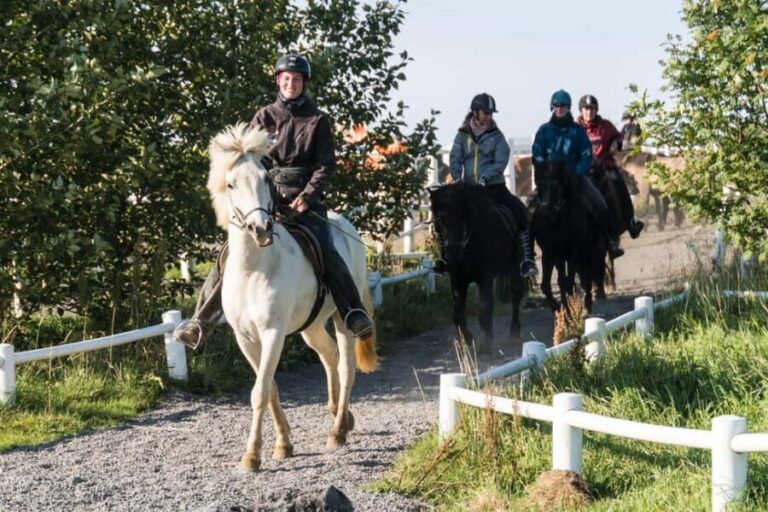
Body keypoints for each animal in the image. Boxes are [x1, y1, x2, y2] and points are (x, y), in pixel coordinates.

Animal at [207, 123, 379, 472]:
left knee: (346, 367)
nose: (260, 228)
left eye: (265, 179)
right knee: (329, 356)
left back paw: (338, 431)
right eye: (231, 184)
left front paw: (252, 456)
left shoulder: (272, 333)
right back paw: (342, 416)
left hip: (343, 318)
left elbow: (260, 392)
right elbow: (270, 388)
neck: (254, 269)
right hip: (311, 327)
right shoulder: (246, 338)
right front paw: (283, 444)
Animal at [428, 183, 525, 354]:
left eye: (462, 216)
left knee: (516, 294)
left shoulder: (485, 278)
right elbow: (458, 315)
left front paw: (485, 346)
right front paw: (469, 340)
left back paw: (514, 331)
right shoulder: (458, 279)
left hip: (515, 267)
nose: (453, 254)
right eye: (439, 219)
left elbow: (484, 309)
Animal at [530, 161, 607, 313]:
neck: (558, 220)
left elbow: (570, 281)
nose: (546, 210)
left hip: (587, 253)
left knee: (586, 277)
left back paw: (587, 304)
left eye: (558, 185)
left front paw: (571, 309)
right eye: (538, 183)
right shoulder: (550, 253)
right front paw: (561, 309)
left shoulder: (574, 251)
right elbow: (549, 284)